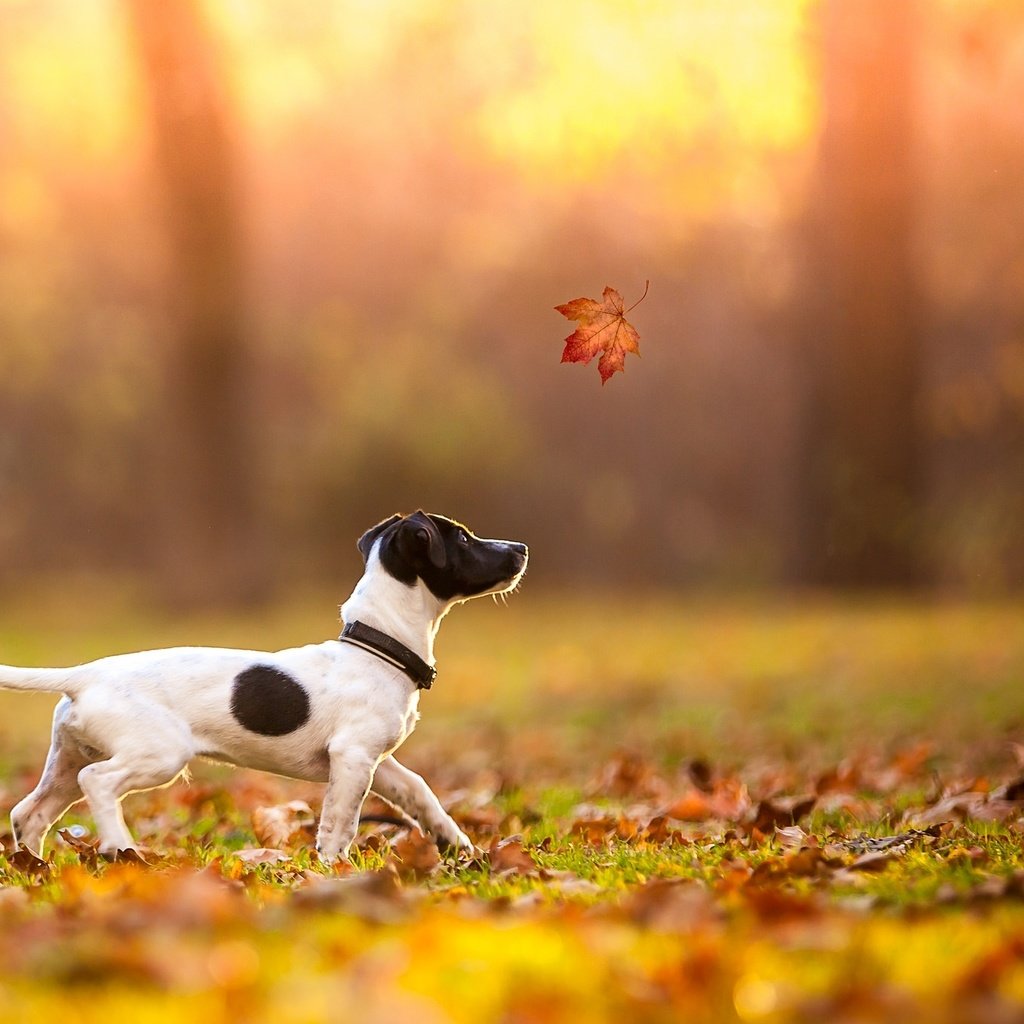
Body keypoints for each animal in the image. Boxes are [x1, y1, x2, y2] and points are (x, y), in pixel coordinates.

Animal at [0, 509, 528, 856]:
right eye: (463, 540)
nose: (521, 548)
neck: (377, 646)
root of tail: (86, 674)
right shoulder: (354, 757)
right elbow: (340, 823)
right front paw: (333, 870)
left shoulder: (377, 761)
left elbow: (419, 792)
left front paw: (455, 843)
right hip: (156, 754)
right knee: (98, 783)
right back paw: (118, 846)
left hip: (67, 759)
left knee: (29, 814)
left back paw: (35, 868)